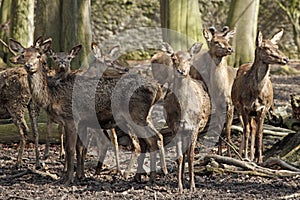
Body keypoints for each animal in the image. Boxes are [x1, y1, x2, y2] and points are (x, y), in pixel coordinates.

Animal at [8, 38, 169, 186]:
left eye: (38, 55)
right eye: (23, 55)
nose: (29, 66)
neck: (52, 96)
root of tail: (157, 88)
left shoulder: (71, 118)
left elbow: (71, 149)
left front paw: (68, 179)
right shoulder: (77, 122)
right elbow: (77, 148)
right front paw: (76, 176)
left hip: (136, 116)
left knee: (150, 140)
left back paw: (149, 178)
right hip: (143, 117)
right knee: (152, 139)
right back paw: (140, 176)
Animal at [162, 42, 211, 194]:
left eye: (190, 58)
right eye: (173, 58)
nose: (181, 71)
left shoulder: (194, 127)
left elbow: (191, 156)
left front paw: (192, 186)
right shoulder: (175, 127)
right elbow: (179, 157)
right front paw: (180, 187)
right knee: (182, 154)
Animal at [190, 26, 237, 156]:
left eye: (227, 40)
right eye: (215, 41)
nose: (230, 48)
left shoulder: (230, 104)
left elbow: (227, 132)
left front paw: (229, 155)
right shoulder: (219, 105)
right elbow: (221, 130)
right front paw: (220, 153)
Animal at [231, 30, 290, 164]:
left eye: (276, 46)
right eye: (266, 47)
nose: (285, 59)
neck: (255, 93)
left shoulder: (264, 108)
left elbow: (259, 132)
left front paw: (260, 159)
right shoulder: (244, 106)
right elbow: (246, 131)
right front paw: (245, 157)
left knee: (255, 128)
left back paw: (254, 156)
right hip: (239, 108)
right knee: (247, 128)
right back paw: (243, 155)